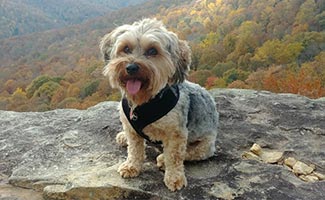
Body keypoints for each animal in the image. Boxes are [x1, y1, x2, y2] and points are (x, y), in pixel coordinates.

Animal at [100, 18, 219, 192]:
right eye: (126, 48)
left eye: (152, 51)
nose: (131, 67)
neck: (145, 102)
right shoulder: (131, 128)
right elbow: (134, 149)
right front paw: (131, 166)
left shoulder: (176, 134)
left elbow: (175, 156)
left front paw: (175, 178)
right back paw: (123, 137)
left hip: (205, 145)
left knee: (189, 153)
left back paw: (163, 159)